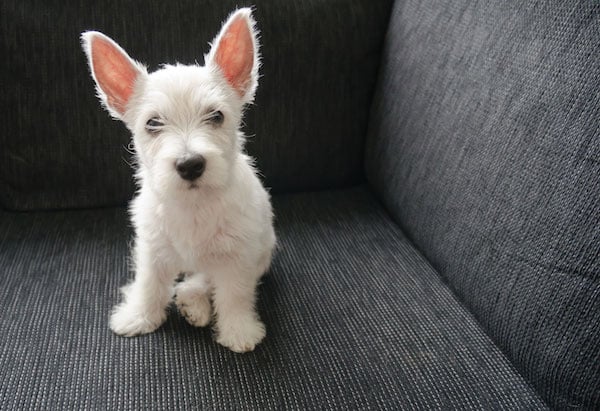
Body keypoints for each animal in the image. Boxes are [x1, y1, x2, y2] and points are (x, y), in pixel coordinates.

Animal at [81, 8, 276, 352]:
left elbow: (235, 295)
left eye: (216, 116)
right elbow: (149, 285)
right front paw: (138, 316)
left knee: (203, 278)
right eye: (153, 123)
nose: (190, 164)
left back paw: (193, 299)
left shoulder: (239, 256)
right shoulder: (151, 248)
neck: (193, 203)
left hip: (262, 251)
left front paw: (239, 330)